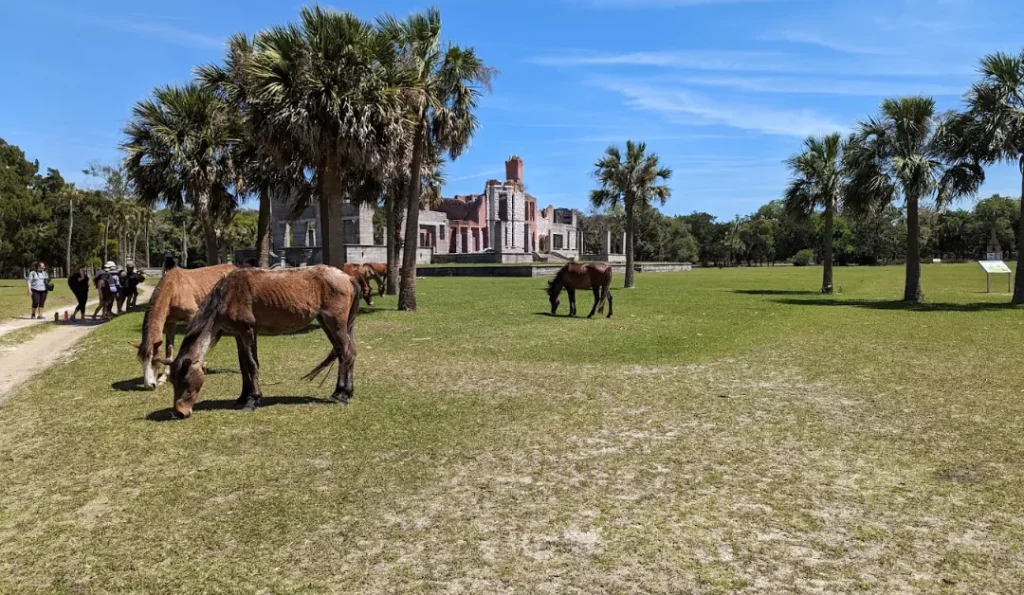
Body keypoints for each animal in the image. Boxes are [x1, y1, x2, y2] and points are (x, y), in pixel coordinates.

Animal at [159, 265, 362, 419]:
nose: (179, 412)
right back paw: (347, 391)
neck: (228, 294)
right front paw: (243, 396)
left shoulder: (248, 331)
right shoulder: (238, 334)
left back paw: (340, 394)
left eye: (185, 380)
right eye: (172, 381)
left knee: (347, 352)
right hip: (326, 322)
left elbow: (252, 364)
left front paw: (253, 400)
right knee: (345, 352)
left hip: (335, 322)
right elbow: (243, 366)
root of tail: (347, 277)